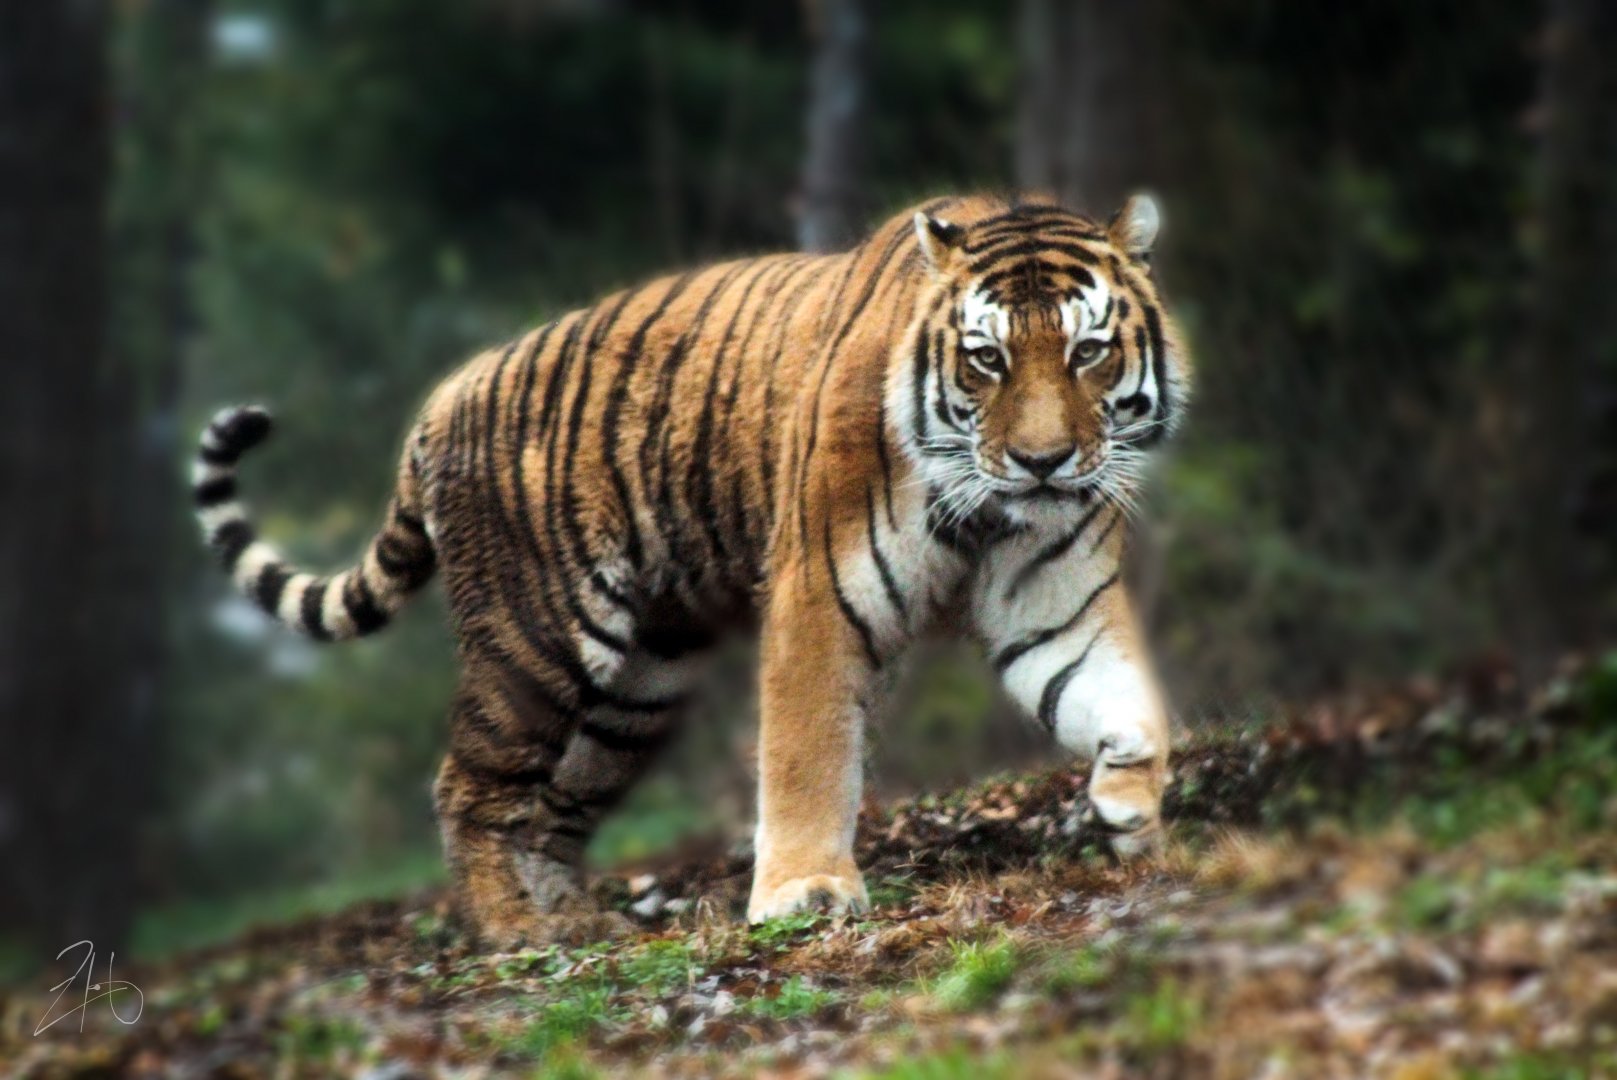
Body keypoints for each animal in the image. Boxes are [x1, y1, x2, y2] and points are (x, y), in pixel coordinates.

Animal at [193, 191, 1192, 947]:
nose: (1042, 462)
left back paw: (573, 920)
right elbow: (807, 753)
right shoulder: (822, 596)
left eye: (1086, 351)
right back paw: (513, 930)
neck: (990, 510)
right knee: (469, 786)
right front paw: (804, 893)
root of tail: (443, 397)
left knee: (553, 806)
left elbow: (1123, 701)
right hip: (538, 641)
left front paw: (1130, 813)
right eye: (986, 359)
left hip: (636, 692)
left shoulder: (1051, 600)